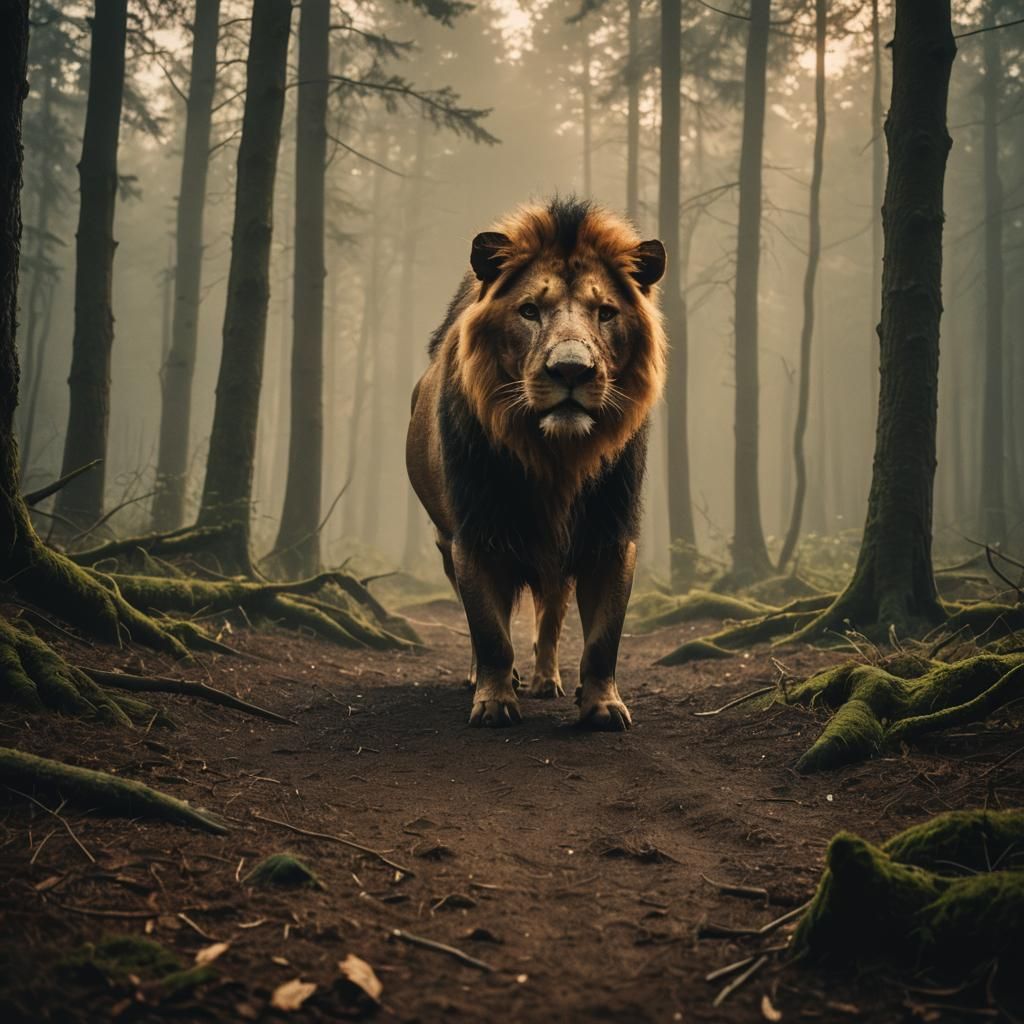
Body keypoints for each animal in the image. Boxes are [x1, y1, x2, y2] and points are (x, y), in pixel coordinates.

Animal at [406, 197, 667, 730]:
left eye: (605, 313)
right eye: (529, 311)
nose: (570, 369)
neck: (556, 459)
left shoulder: (610, 534)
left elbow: (603, 637)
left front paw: (603, 706)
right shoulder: (474, 535)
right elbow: (489, 630)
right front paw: (494, 702)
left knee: (551, 616)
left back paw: (547, 679)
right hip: (445, 541)